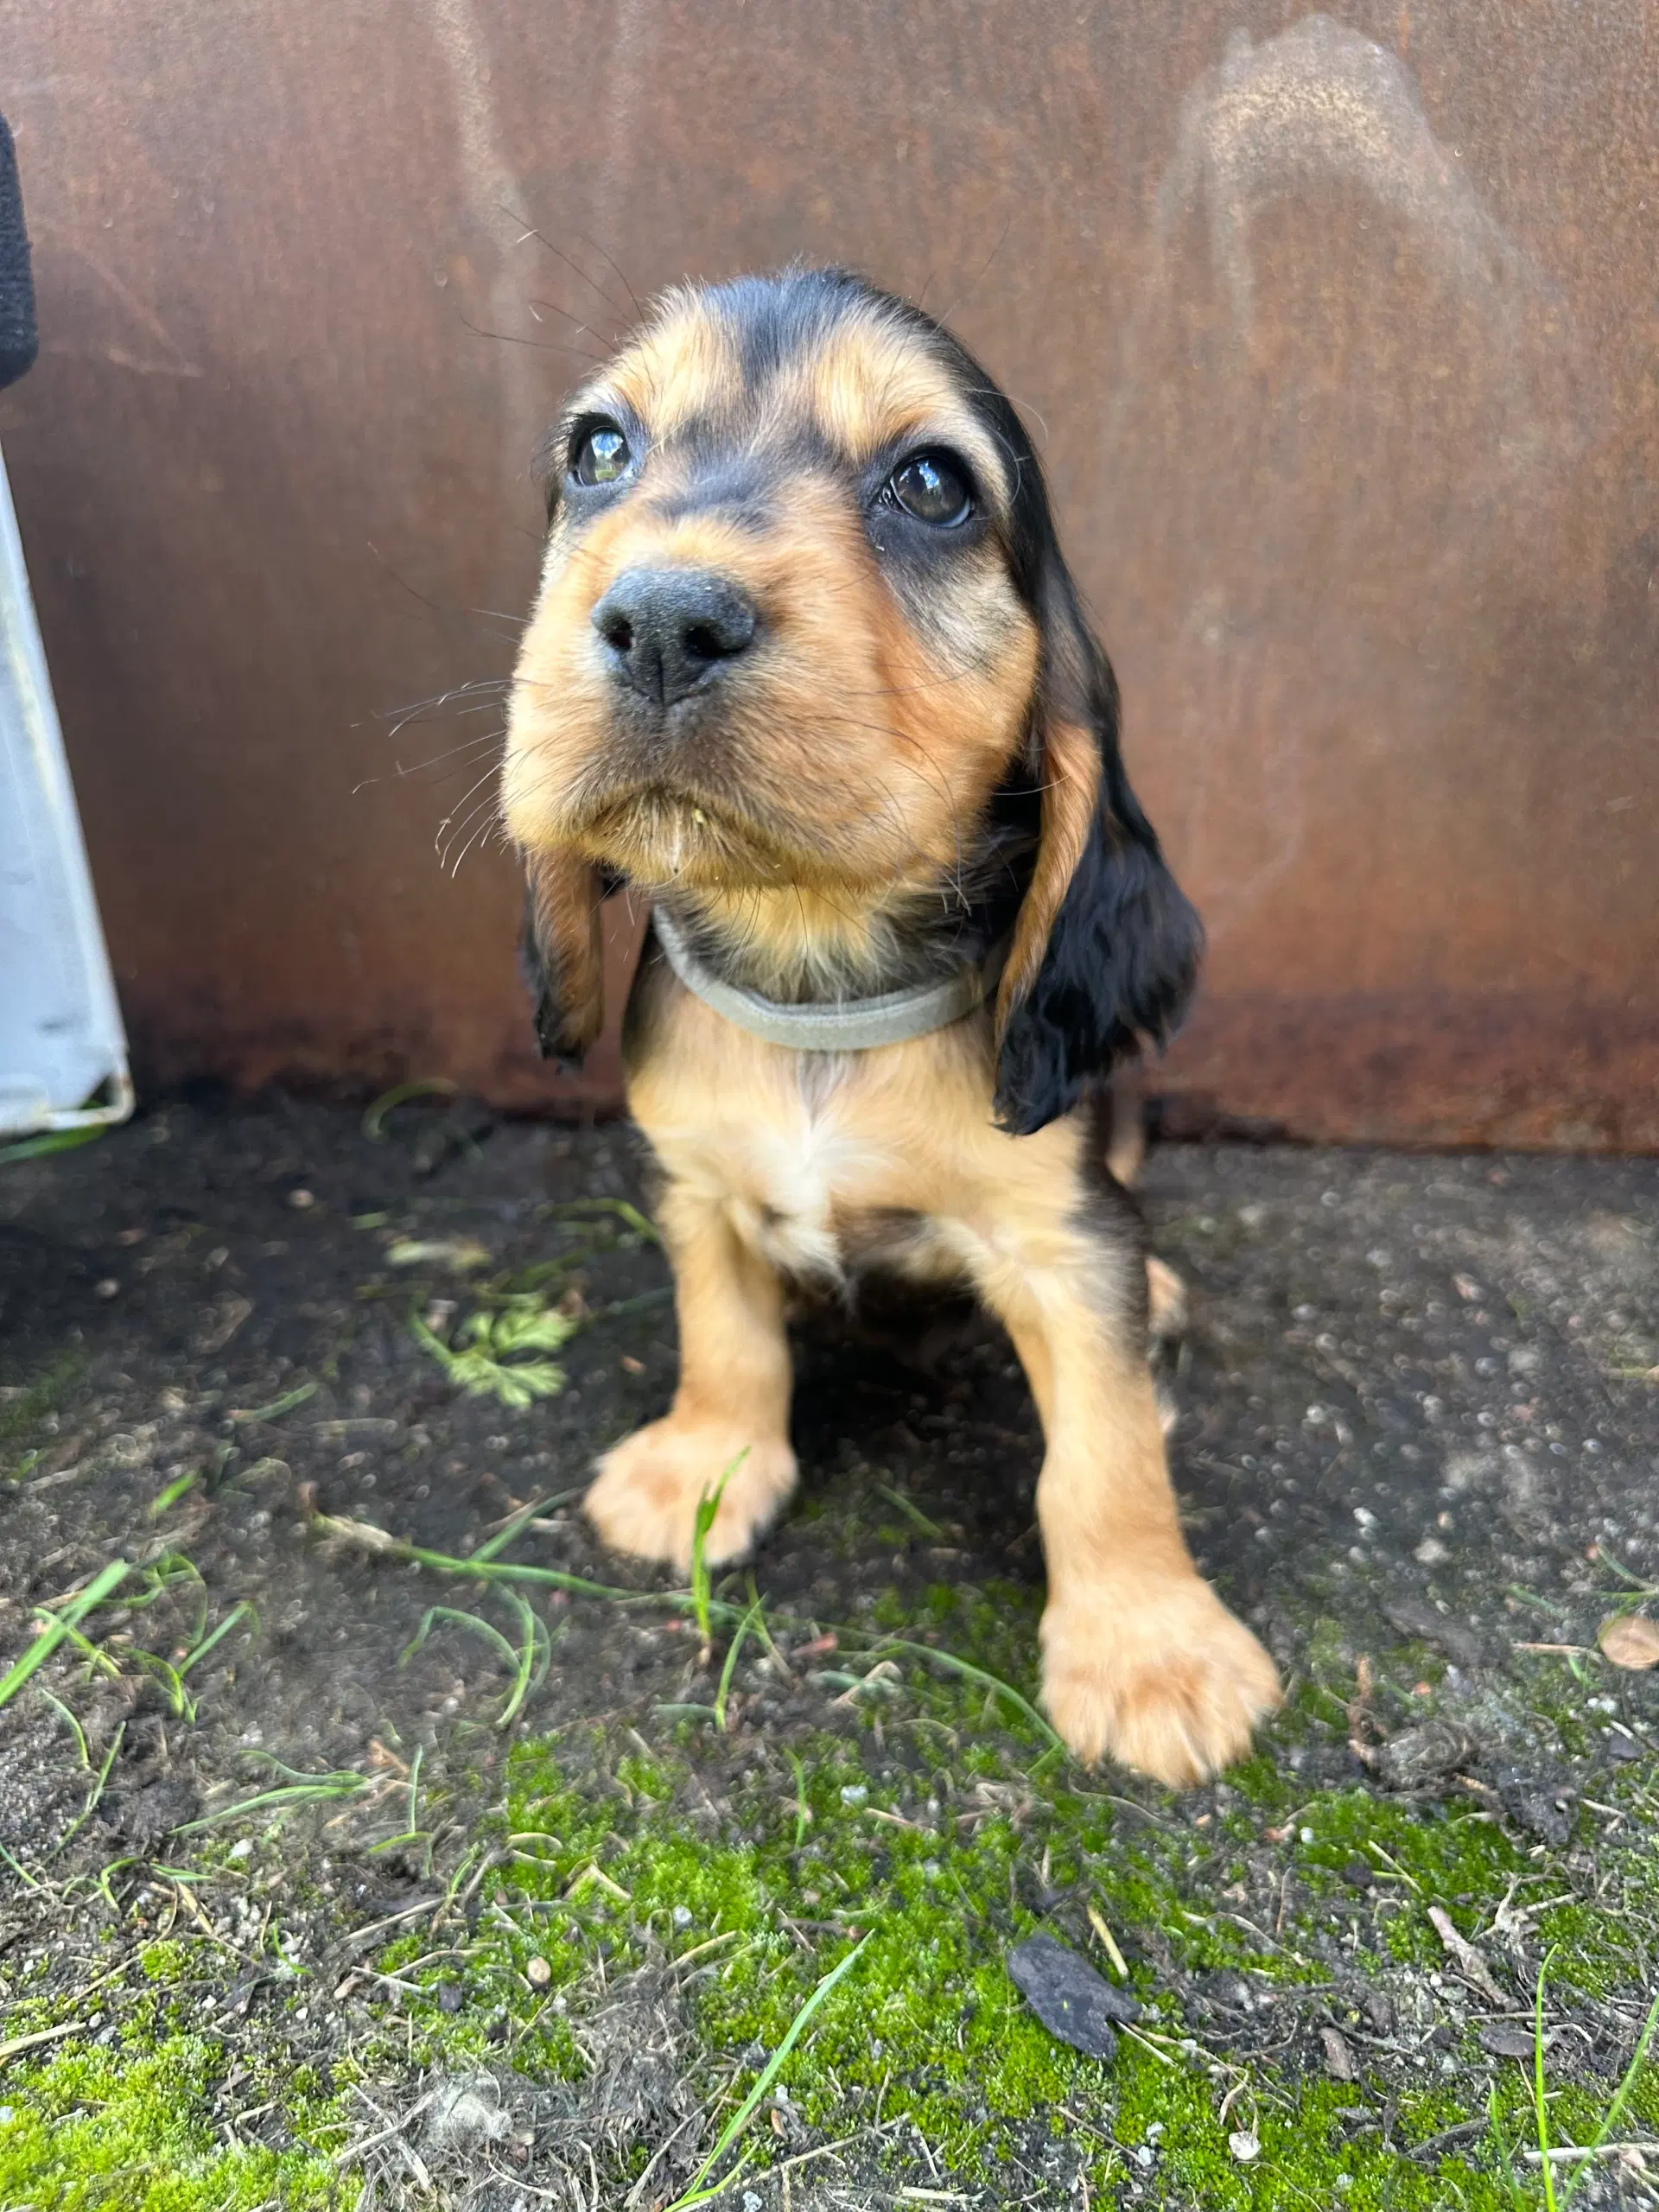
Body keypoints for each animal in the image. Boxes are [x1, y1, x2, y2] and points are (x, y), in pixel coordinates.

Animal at [506, 263, 1282, 1778]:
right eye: (599, 451)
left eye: (933, 485)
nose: (663, 620)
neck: (819, 987)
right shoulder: (691, 1182)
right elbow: (724, 1336)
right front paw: (703, 1466)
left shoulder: (1060, 1232)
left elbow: (1105, 1452)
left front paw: (1149, 1648)